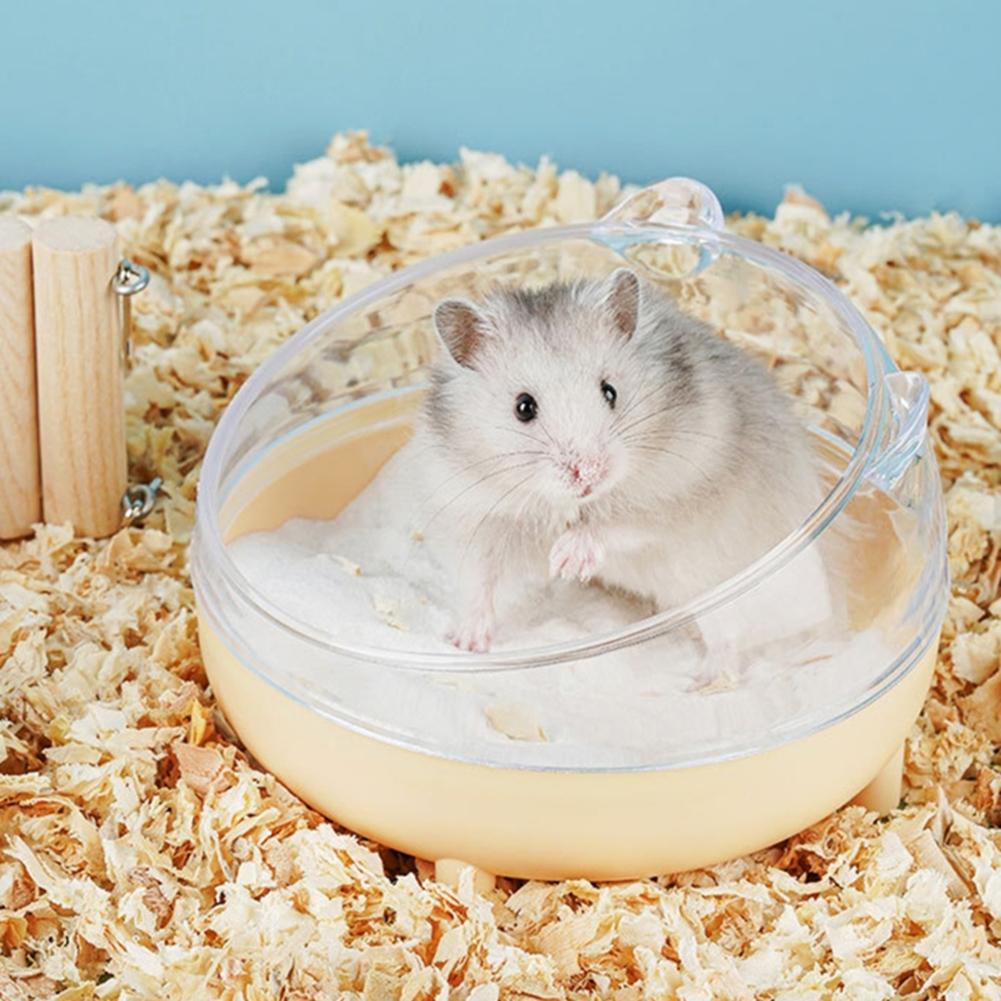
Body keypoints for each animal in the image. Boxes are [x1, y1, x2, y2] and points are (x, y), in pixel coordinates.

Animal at [420, 269, 832, 663]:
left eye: (610, 391)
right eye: (524, 407)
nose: (589, 473)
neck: (576, 502)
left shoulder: (679, 492)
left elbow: (623, 523)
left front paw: (567, 559)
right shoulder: (478, 516)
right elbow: (479, 582)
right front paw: (467, 644)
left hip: (727, 588)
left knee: (731, 639)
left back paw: (703, 678)